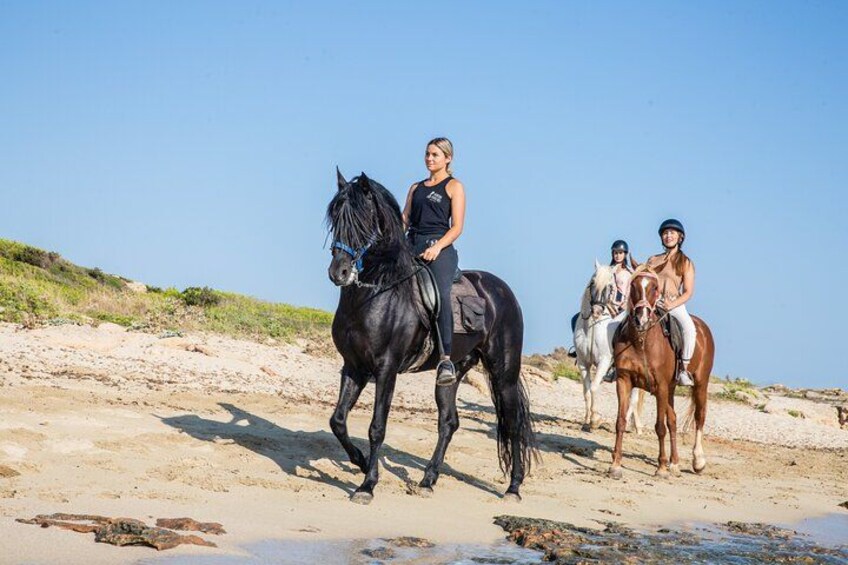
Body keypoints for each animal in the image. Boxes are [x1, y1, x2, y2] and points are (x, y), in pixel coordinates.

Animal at [326, 170, 538, 504]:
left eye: (362, 219)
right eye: (335, 217)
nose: (340, 273)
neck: (377, 292)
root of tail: (502, 290)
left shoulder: (386, 369)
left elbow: (377, 427)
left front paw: (367, 485)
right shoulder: (354, 366)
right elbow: (338, 420)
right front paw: (359, 462)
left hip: (503, 371)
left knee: (513, 423)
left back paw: (513, 488)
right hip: (454, 372)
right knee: (449, 421)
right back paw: (427, 480)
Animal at [573, 260, 645, 433]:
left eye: (610, 286)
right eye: (592, 282)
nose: (597, 311)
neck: (592, 327)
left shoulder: (604, 362)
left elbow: (593, 388)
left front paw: (595, 420)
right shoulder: (583, 363)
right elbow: (586, 391)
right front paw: (586, 422)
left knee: (633, 399)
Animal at [608, 267, 715, 479]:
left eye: (655, 287)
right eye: (633, 285)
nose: (641, 318)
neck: (641, 340)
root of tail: (703, 328)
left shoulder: (661, 387)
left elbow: (659, 427)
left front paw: (661, 468)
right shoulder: (624, 381)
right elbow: (621, 421)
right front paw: (616, 465)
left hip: (700, 384)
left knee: (699, 416)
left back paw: (698, 461)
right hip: (671, 389)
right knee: (673, 420)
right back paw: (675, 463)